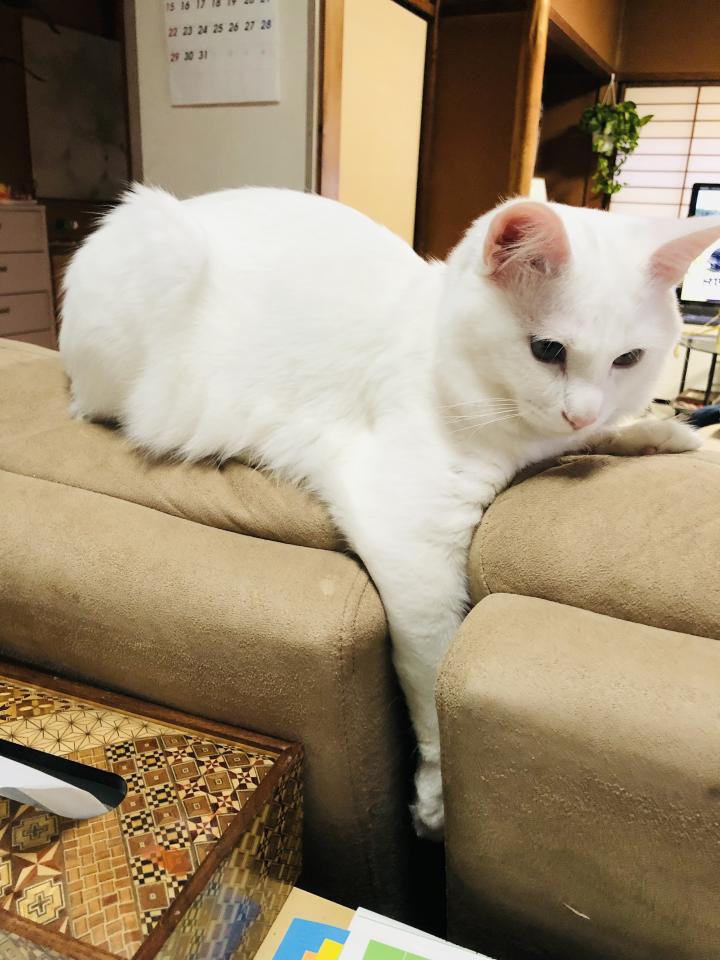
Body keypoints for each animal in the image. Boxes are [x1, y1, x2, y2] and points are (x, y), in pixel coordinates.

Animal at [59, 185, 720, 837]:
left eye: (628, 360)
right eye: (547, 349)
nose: (580, 412)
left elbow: (607, 435)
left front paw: (666, 435)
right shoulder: (412, 540)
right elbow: (434, 682)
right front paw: (435, 804)